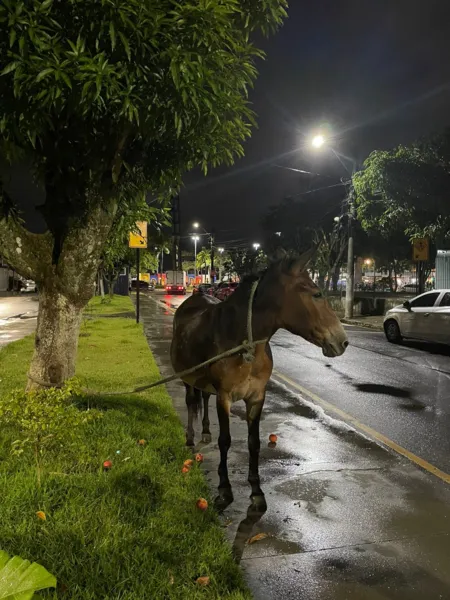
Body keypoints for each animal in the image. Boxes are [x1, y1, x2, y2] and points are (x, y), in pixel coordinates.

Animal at [171, 251, 350, 508]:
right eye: (317, 294)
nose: (343, 341)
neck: (244, 343)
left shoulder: (257, 396)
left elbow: (254, 442)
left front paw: (256, 491)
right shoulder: (224, 397)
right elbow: (225, 440)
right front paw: (224, 489)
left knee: (203, 397)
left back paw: (204, 430)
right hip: (186, 376)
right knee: (191, 402)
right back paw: (190, 437)